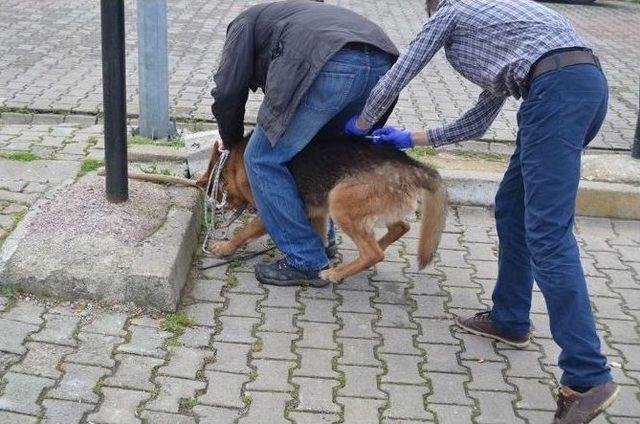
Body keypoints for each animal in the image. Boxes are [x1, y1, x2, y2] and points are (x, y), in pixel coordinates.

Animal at [198, 132, 448, 284]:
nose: (213, 208)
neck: (234, 166)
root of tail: (412, 165)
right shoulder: (316, 214)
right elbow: (315, 236)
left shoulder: (269, 210)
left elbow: (244, 232)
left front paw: (226, 247)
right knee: (400, 227)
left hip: (340, 203)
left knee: (373, 253)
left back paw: (336, 273)